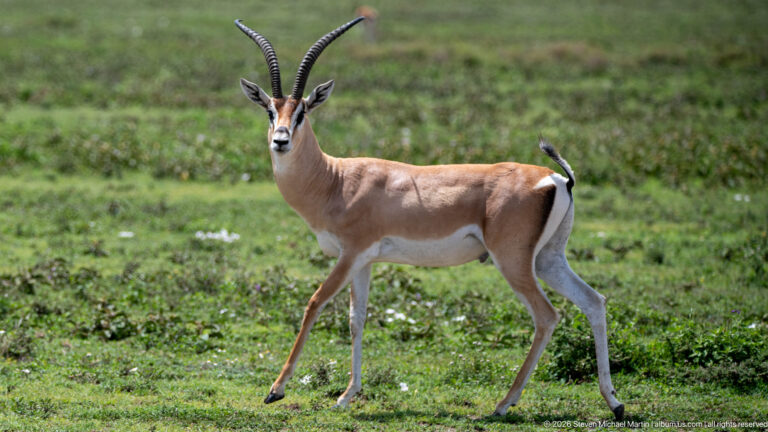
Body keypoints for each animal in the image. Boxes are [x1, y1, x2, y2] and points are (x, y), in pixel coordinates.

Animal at [234, 17, 625, 420]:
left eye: (302, 113)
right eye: (270, 111)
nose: (280, 140)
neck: (335, 180)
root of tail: (556, 178)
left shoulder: (350, 254)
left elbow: (314, 304)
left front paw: (276, 390)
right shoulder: (363, 260)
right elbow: (357, 319)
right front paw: (346, 395)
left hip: (513, 261)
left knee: (546, 316)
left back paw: (504, 403)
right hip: (548, 259)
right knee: (594, 301)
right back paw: (614, 402)